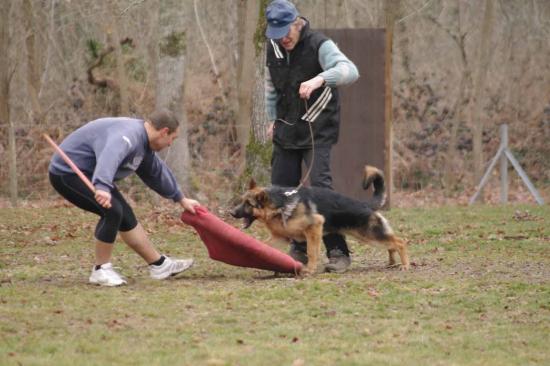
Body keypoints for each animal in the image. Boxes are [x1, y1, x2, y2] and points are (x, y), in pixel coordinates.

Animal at [231, 166, 412, 274]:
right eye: (242, 201)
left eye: (248, 204)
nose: (231, 213)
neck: (280, 205)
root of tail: (364, 204)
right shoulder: (281, 238)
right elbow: (264, 245)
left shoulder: (314, 228)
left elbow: (312, 251)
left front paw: (310, 269)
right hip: (370, 236)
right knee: (391, 244)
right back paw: (391, 262)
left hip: (369, 235)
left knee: (400, 242)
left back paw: (405, 265)